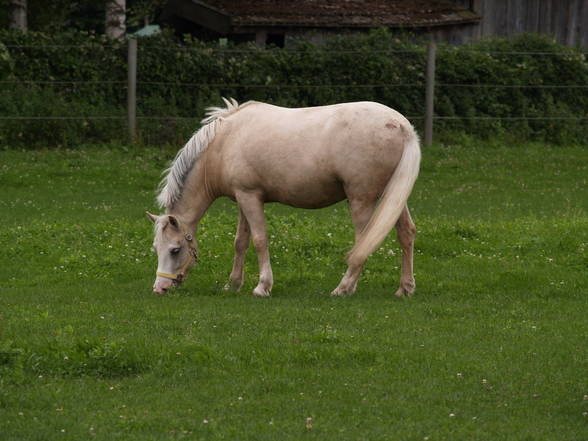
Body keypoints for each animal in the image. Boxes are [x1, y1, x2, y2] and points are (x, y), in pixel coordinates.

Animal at [148, 98, 422, 298]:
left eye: (174, 250)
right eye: (156, 248)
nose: (160, 288)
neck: (224, 143)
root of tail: (401, 125)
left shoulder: (251, 197)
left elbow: (259, 240)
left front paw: (262, 286)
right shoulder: (243, 199)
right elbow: (240, 242)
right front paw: (233, 284)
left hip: (361, 199)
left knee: (362, 242)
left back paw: (344, 288)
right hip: (393, 198)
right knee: (406, 233)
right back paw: (405, 288)